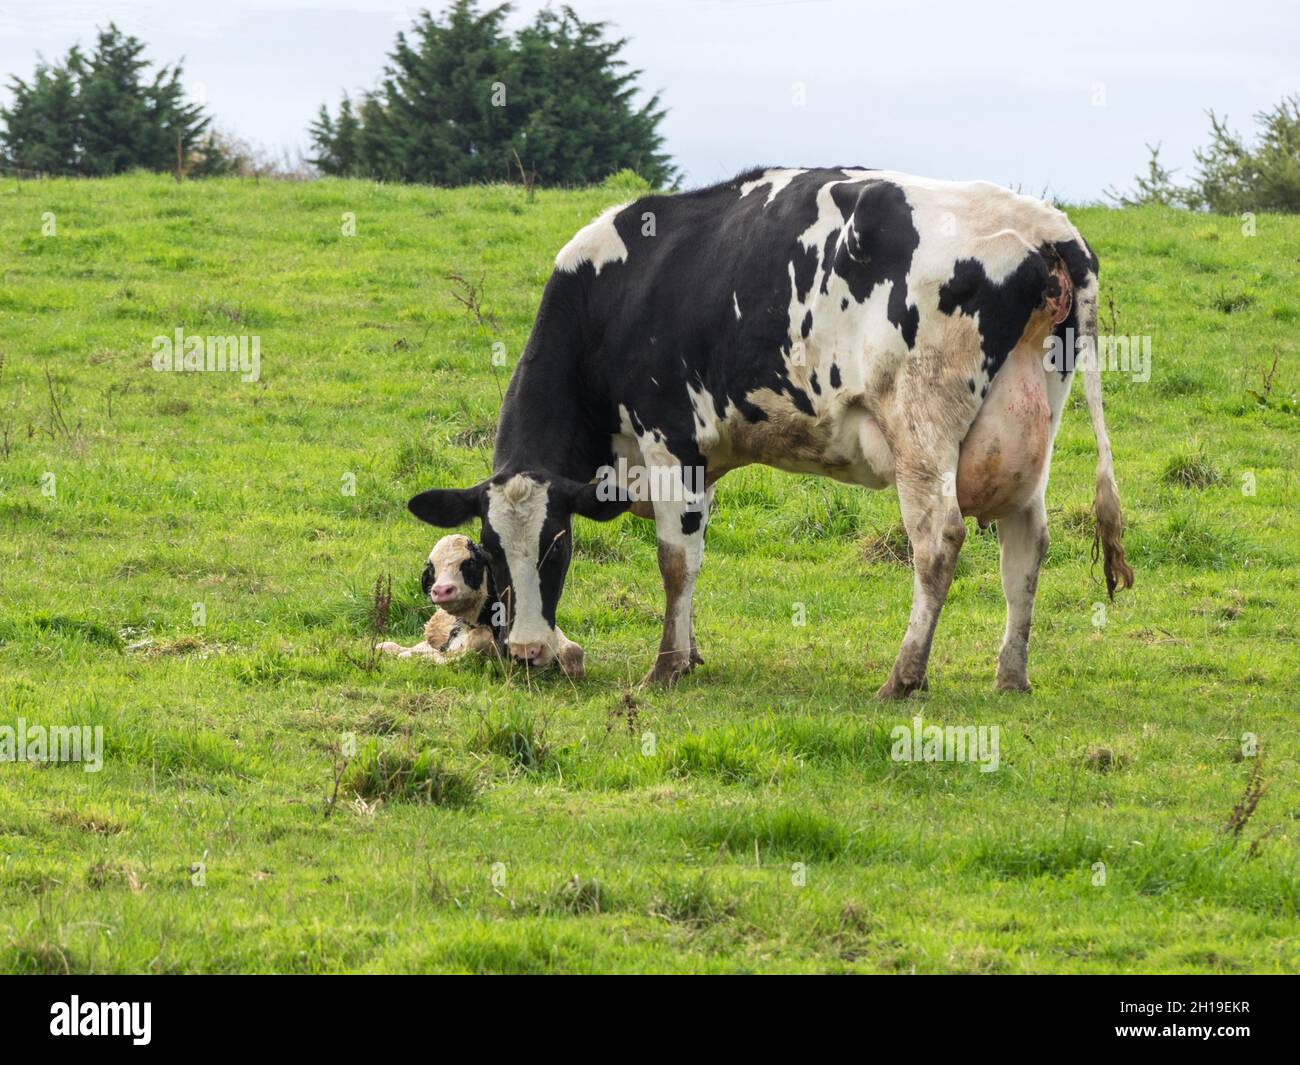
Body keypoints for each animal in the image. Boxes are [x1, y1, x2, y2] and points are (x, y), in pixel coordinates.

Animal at [408, 167, 1133, 697]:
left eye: (558, 545)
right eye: (490, 551)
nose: (528, 650)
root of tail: (1048, 227)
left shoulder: (669, 437)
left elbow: (674, 560)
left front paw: (666, 667)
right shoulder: (699, 461)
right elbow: (693, 553)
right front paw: (691, 652)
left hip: (921, 431)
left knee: (938, 541)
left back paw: (902, 677)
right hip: (1024, 432)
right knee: (1025, 545)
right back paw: (1010, 676)